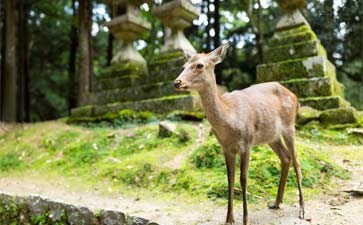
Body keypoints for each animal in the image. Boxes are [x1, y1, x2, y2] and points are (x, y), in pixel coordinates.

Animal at [175, 42, 306, 225]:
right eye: (184, 65)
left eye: (200, 65)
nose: (176, 82)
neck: (229, 121)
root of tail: (295, 96)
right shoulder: (226, 148)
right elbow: (230, 178)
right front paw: (229, 219)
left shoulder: (247, 143)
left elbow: (243, 179)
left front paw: (245, 220)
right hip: (271, 136)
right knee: (286, 158)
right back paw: (276, 202)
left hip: (289, 126)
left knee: (296, 161)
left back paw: (302, 210)